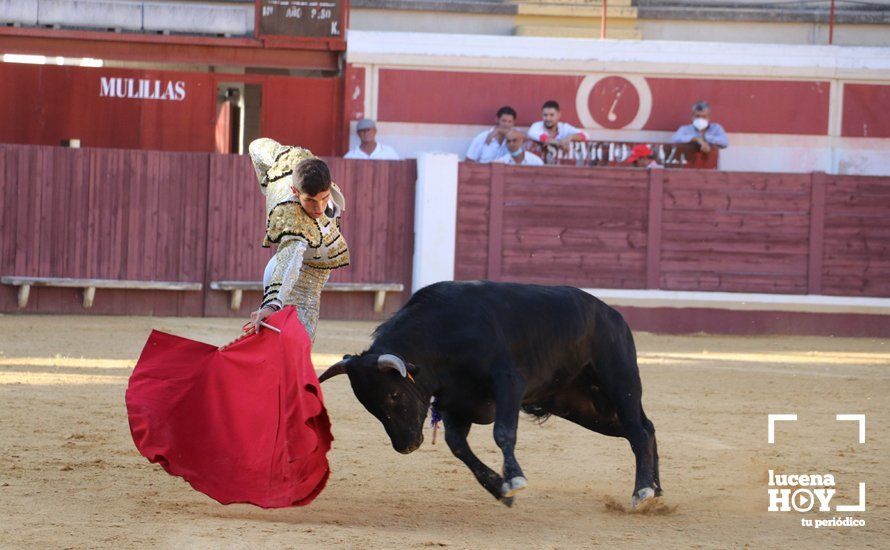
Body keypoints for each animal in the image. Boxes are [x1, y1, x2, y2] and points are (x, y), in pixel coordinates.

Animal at [320, 282, 660, 512]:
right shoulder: (456, 403)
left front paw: (514, 479)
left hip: (620, 381)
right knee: (645, 430)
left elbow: (503, 433)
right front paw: (499, 489)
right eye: (369, 407)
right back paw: (656, 494)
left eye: (393, 394)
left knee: (638, 432)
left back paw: (642, 491)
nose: (407, 446)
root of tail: (612, 314)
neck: (441, 336)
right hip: (583, 406)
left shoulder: (508, 383)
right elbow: (458, 446)